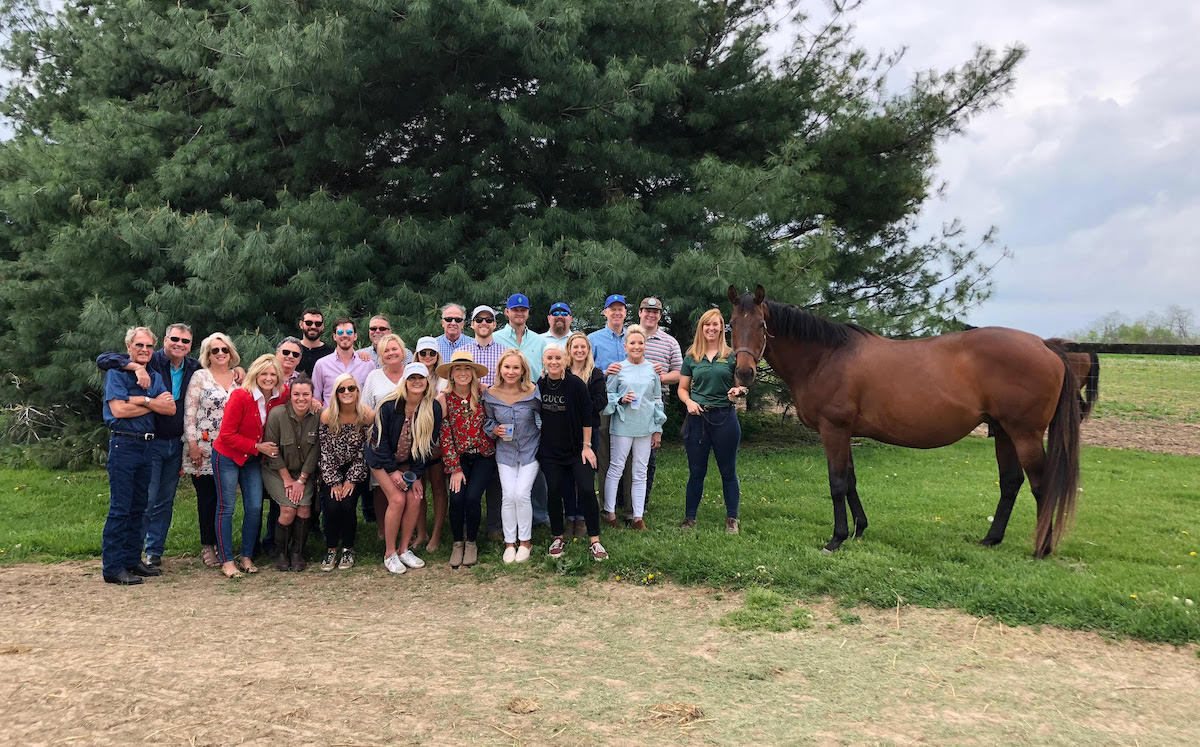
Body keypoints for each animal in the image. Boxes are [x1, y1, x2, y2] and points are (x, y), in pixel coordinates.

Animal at [724, 287, 1084, 557]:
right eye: (731, 325)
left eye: (762, 325)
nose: (744, 372)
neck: (825, 356)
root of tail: (1045, 345)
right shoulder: (846, 432)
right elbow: (851, 480)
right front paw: (859, 530)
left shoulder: (833, 430)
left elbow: (837, 483)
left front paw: (836, 538)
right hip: (1004, 432)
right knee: (1010, 482)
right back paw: (991, 539)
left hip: (1025, 434)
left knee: (1041, 485)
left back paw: (1042, 548)